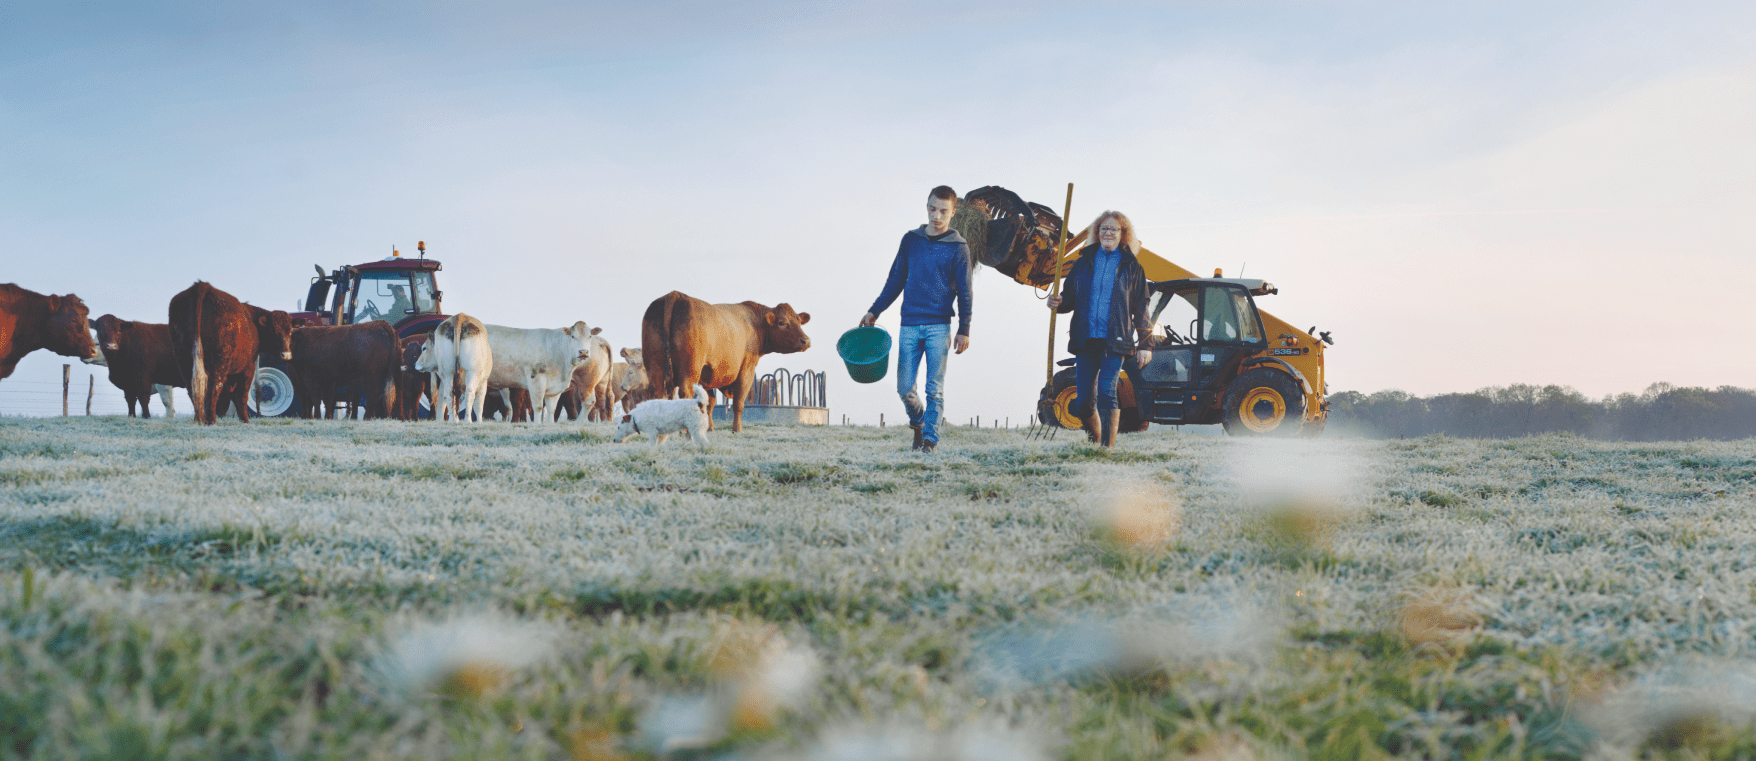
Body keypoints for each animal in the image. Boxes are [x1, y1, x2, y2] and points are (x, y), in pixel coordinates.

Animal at [169, 279, 293, 423]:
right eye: (273, 331)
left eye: (290, 330)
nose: (286, 355)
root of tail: (203, 286)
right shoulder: (247, 367)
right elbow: (241, 394)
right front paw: (245, 420)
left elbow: (229, 396)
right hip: (220, 360)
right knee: (214, 388)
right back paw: (210, 420)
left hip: (183, 359)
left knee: (193, 389)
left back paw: (200, 419)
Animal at [642, 289, 811, 432]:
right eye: (782, 322)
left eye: (798, 320)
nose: (806, 341)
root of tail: (675, 295)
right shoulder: (747, 369)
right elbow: (738, 402)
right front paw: (737, 429)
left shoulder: (706, 375)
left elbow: (710, 402)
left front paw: (710, 428)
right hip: (690, 369)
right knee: (685, 393)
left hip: (655, 366)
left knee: (657, 392)